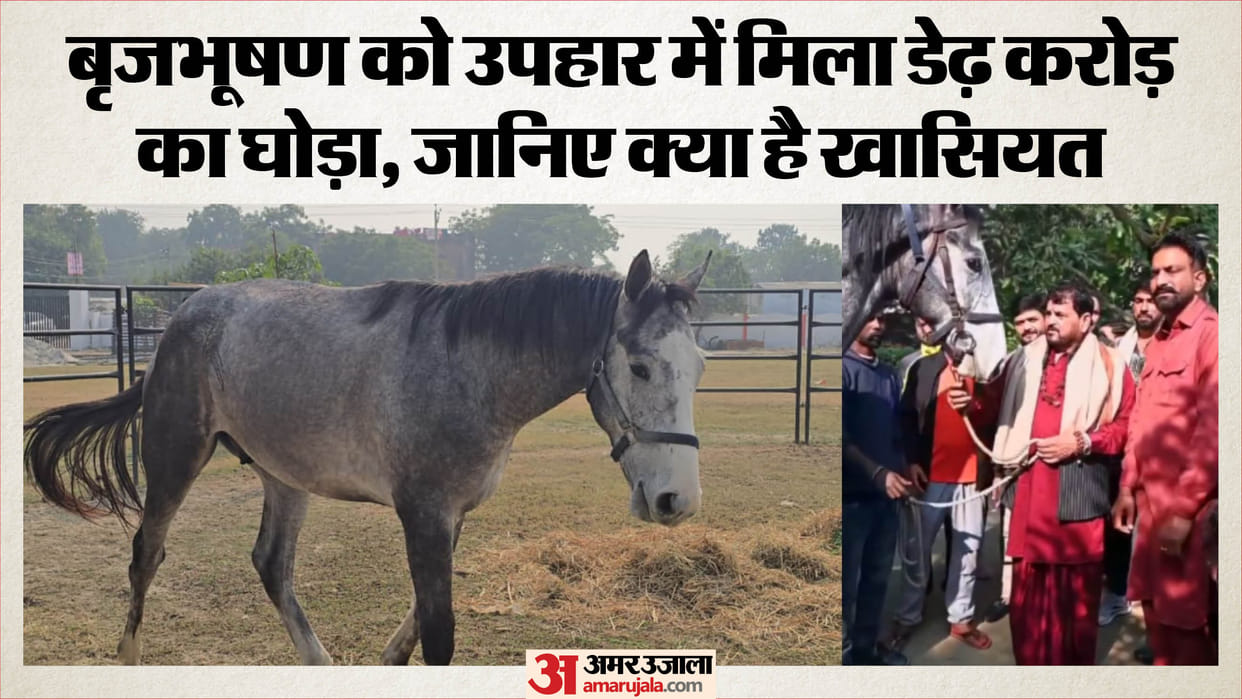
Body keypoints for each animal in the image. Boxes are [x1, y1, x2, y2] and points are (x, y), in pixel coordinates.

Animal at [24, 250, 711, 666]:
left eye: (701, 367)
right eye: (641, 366)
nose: (676, 500)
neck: (470, 369)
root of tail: (182, 316)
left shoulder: (453, 514)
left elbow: (418, 622)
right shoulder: (424, 512)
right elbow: (439, 632)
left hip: (284, 475)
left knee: (272, 565)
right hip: (175, 455)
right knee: (147, 553)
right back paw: (129, 656)